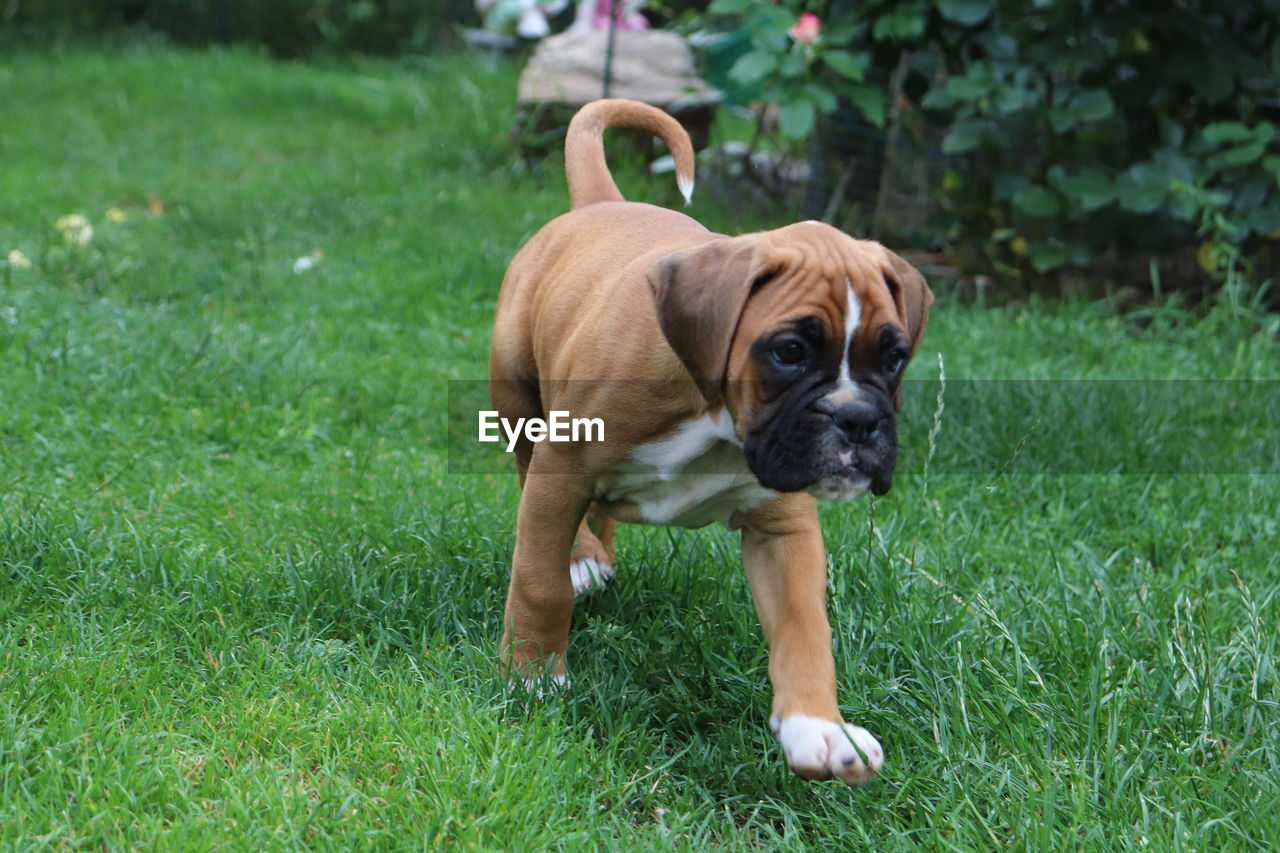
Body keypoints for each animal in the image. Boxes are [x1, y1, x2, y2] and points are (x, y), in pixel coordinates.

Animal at [486, 99, 931, 783]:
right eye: (789, 351)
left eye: (895, 357)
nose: (858, 419)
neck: (717, 420)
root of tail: (602, 203)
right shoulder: (561, 472)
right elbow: (537, 578)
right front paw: (532, 678)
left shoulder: (784, 528)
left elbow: (805, 627)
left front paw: (818, 728)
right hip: (517, 399)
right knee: (539, 486)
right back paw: (582, 557)